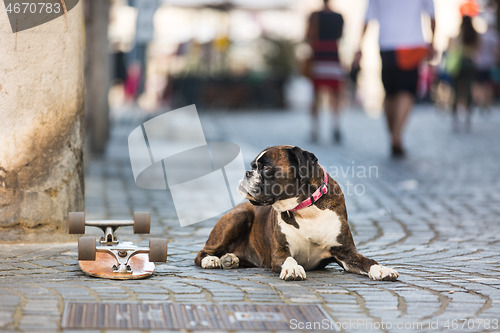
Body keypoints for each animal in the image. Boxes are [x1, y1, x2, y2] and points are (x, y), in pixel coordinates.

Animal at [194, 145, 398, 280]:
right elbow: (289, 259)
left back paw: (230, 258)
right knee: (201, 253)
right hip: (240, 216)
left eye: (265, 167)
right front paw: (293, 269)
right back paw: (212, 260)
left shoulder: (346, 252)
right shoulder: (279, 252)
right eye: (253, 167)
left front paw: (382, 269)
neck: (306, 209)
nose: (247, 173)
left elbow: (367, 260)